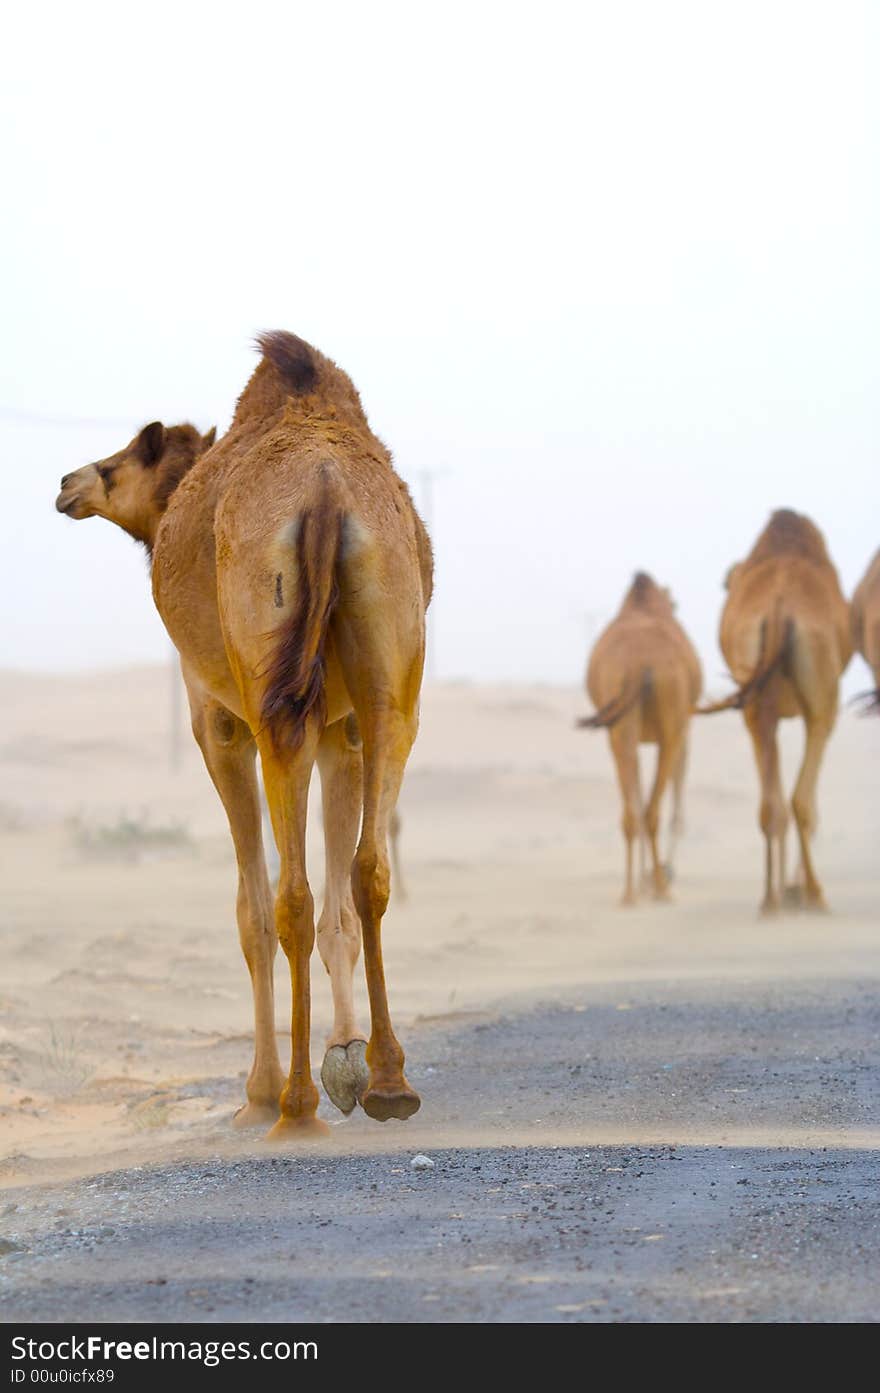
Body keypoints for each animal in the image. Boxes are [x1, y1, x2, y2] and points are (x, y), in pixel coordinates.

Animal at [55, 331, 434, 1136]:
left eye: (122, 461)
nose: (68, 482)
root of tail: (326, 492)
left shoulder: (216, 722)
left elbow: (250, 912)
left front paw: (260, 1088)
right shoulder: (343, 729)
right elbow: (343, 899)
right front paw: (345, 1060)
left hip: (270, 698)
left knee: (287, 897)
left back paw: (290, 1104)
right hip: (389, 669)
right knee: (369, 868)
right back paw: (389, 1082)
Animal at [576, 571, 701, 908]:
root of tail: (639, 662)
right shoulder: (684, 728)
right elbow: (677, 803)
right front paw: (662, 876)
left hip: (619, 723)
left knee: (633, 809)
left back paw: (631, 892)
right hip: (672, 719)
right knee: (653, 809)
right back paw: (660, 887)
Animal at [698, 509, 846, 913]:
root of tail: (780, 610)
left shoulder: (768, 711)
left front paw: (783, 891)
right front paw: (796, 890)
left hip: (753, 698)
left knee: (772, 805)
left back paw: (770, 900)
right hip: (823, 698)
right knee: (801, 799)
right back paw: (814, 894)